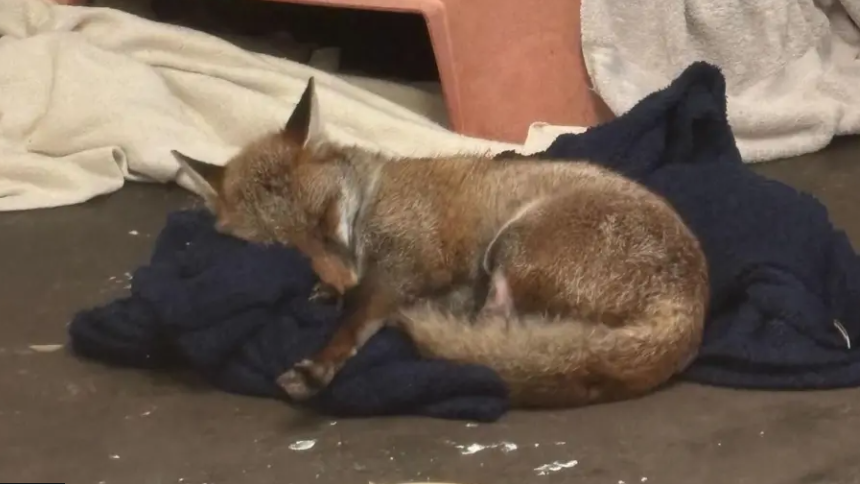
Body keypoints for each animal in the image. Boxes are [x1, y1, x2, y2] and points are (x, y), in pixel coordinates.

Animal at [171, 76, 708, 408]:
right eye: (288, 248)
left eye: (326, 220)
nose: (343, 281)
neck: (374, 194)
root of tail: (691, 307)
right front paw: (328, 292)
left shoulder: (409, 263)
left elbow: (356, 321)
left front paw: (322, 361)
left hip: (512, 245)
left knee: (492, 328)